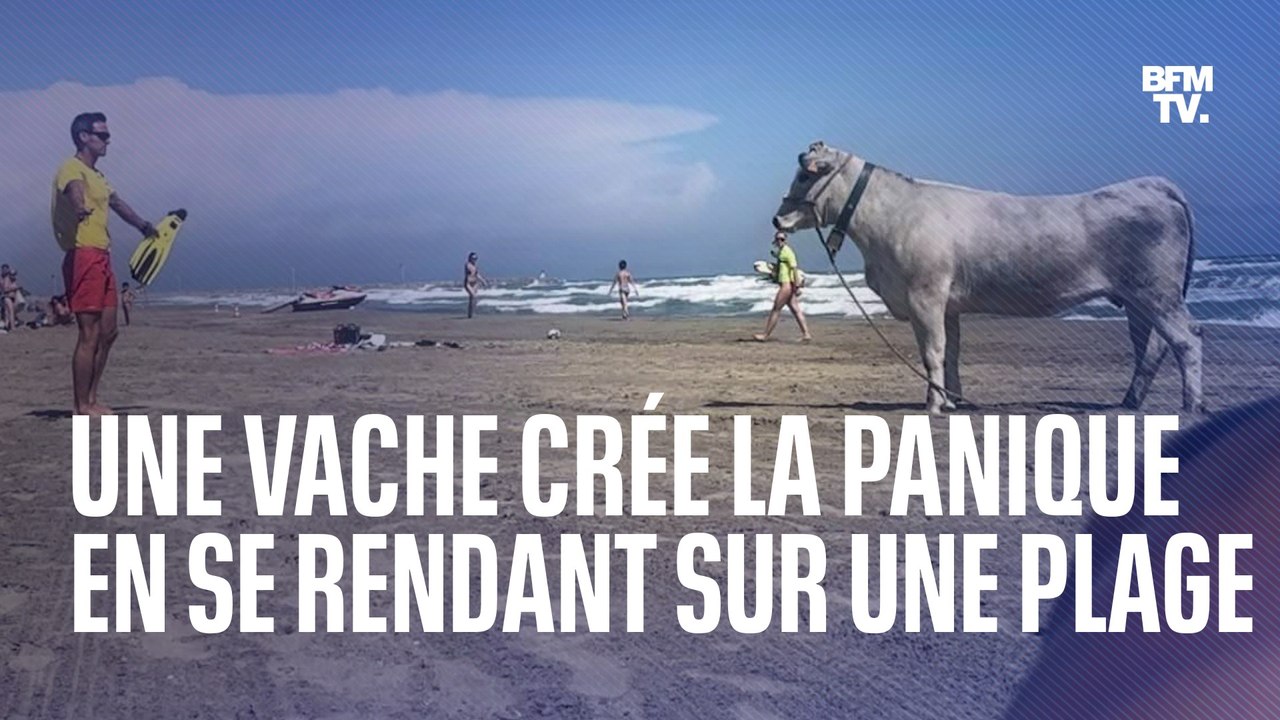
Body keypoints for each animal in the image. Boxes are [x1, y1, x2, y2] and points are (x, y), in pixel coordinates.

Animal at [772, 141, 1203, 414]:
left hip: (1157, 292)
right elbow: (951, 353)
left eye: (805, 176)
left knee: (1186, 340)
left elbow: (933, 352)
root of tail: (1150, 185)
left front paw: (934, 404)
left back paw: (1192, 404)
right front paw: (951, 399)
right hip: (1137, 300)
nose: (778, 219)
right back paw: (1130, 401)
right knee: (1150, 347)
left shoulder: (925, 296)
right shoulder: (946, 304)